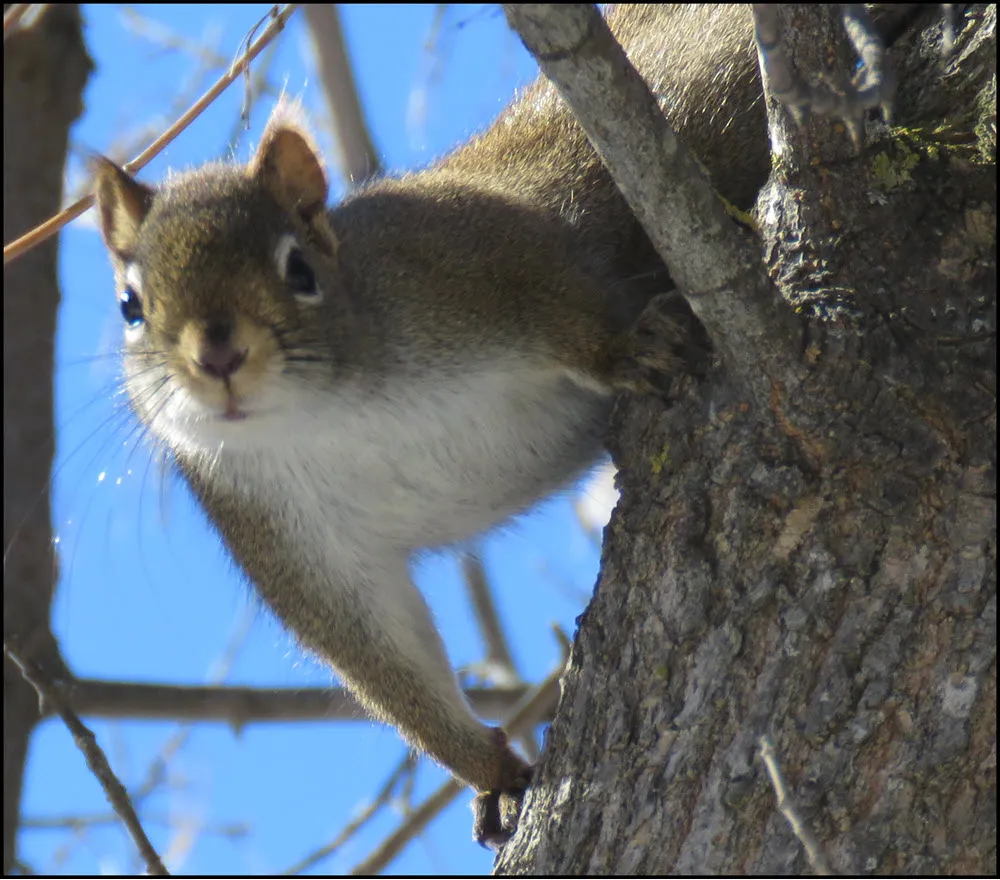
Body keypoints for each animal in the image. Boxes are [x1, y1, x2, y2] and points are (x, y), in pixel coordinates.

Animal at [92, 5, 764, 844]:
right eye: (130, 306)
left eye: (299, 270)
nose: (218, 356)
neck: (327, 414)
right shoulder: (279, 531)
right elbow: (382, 654)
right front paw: (492, 772)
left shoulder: (481, 254)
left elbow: (567, 296)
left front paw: (622, 348)